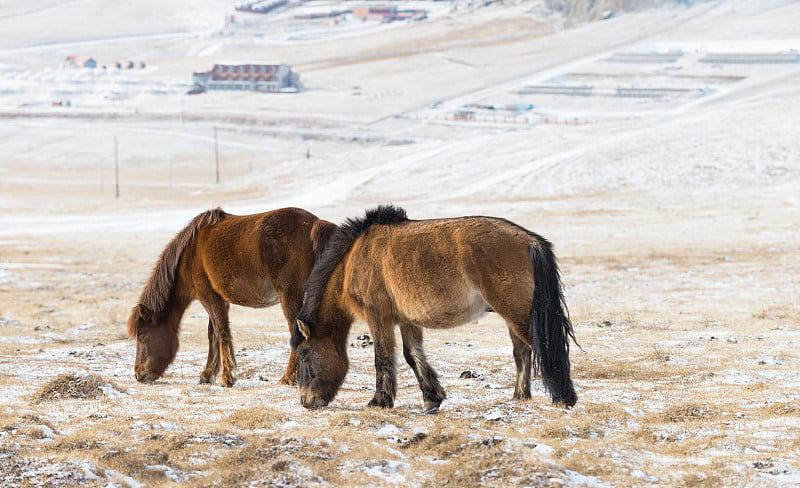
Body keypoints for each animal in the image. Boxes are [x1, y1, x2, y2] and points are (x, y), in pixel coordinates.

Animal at [126, 208, 338, 386]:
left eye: (142, 337)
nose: (138, 374)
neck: (189, 255)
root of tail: (314, 224)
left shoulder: (209, 297)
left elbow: (221, 332)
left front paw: (227, 377)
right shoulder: (220, 300)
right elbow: (212, 334)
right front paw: (208, 374)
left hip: (290, 298)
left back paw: (288, 378)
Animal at [290, 204, 580, 414]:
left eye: (304, 355)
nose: (306, 401)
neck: (354, 259)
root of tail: (530, 241)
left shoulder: (378, 317)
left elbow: (383, 358)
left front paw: (379, 401)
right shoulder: (406, 320)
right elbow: (413, 356)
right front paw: (432, 399)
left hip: (517, 313)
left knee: (541, 348)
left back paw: (563, 399)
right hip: (512, 315)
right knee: (522, 352)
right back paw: (520, 397)